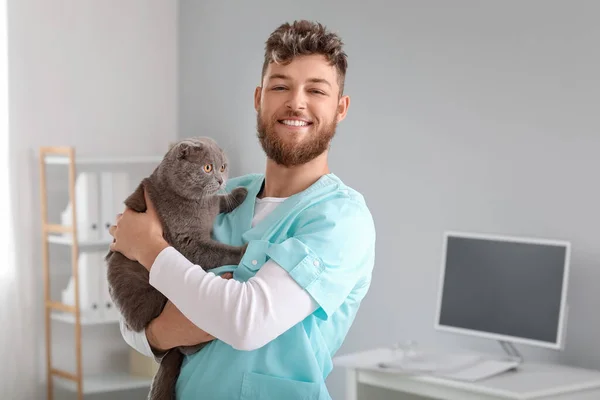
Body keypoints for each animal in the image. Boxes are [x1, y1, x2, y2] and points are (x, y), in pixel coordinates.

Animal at [105, 137, 248, 400]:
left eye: (223, 167)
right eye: (207, 168)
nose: (221, 180)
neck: (199, 204)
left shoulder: (211, 203)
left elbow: (219, 201)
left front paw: (239, 193)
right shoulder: (188, 242)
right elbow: (217, 250)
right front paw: (244, 249)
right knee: (183, 345)